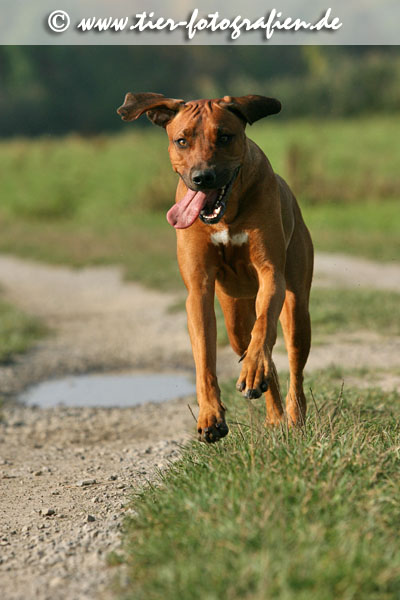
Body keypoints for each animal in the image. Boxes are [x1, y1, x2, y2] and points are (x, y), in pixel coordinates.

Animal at [117, 92, 314, 440]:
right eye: (182, 140)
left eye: (224, 137)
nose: (202, 177)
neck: (226, 214)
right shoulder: (199, 290)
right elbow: (204, 359)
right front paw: (210, 415)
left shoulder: (271, 274)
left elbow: (264, 325)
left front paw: (253, 370)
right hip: (234, 316)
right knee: (258, 350)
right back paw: (273, 413)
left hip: (297, 310)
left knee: (292, 362)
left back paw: (291, 414)